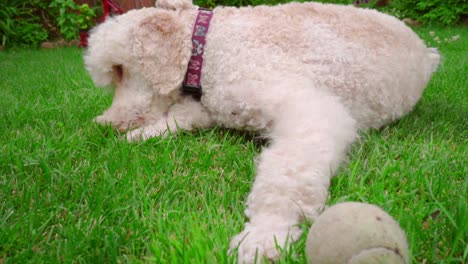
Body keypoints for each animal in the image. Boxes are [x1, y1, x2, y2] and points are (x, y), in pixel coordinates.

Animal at [83, 0, 438, 262]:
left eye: (118, 70)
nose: (105, 125)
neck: (209, 48)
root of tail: (428, 52)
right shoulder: (212, 105)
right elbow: (181, 116)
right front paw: (140, 135)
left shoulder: (310, 109)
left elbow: (286, 174)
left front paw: (265, 235)